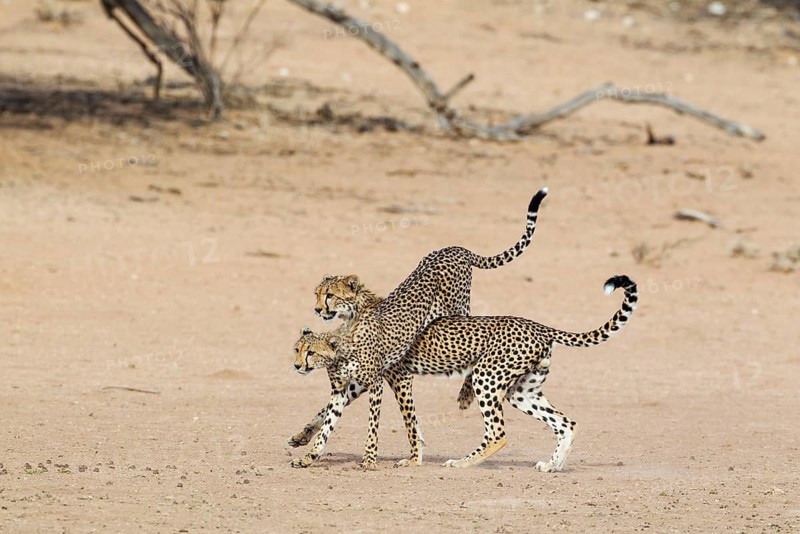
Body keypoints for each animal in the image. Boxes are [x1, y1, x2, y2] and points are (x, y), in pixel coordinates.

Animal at [291, 274, 637, 471]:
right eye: (316, 294)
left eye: (329, 295)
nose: (317, 309)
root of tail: (537, 324)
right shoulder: (359, 381)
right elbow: (328, 414)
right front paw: (305, 447)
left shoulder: (396, 378)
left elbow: (408, 422)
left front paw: (412, 458)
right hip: (522, 391)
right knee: (566, 423)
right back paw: (552, 466)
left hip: (487, 378)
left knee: (497, 433)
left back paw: (462, 462)